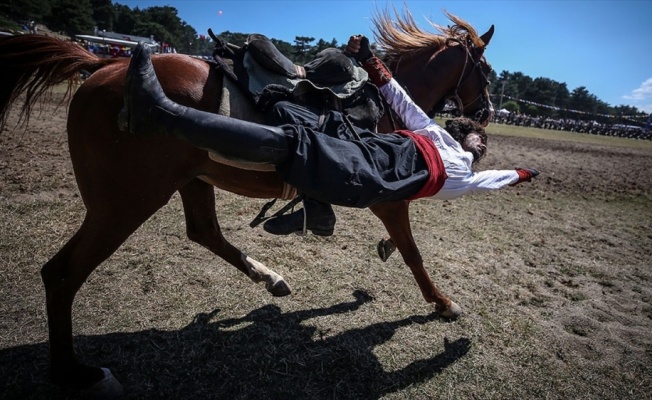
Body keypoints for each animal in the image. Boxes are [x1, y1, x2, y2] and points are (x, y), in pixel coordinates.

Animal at [0, 9, 492, 396]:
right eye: (486, 71)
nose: (485, 113)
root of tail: (101, 64)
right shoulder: (389, 193)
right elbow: (413, 251)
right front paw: (442, 303)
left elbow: (403, 245)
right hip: (125, 202)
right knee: (62, 273)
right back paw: (74, 372)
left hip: (188, 182)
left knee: (203, 231)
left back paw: (270, 277)